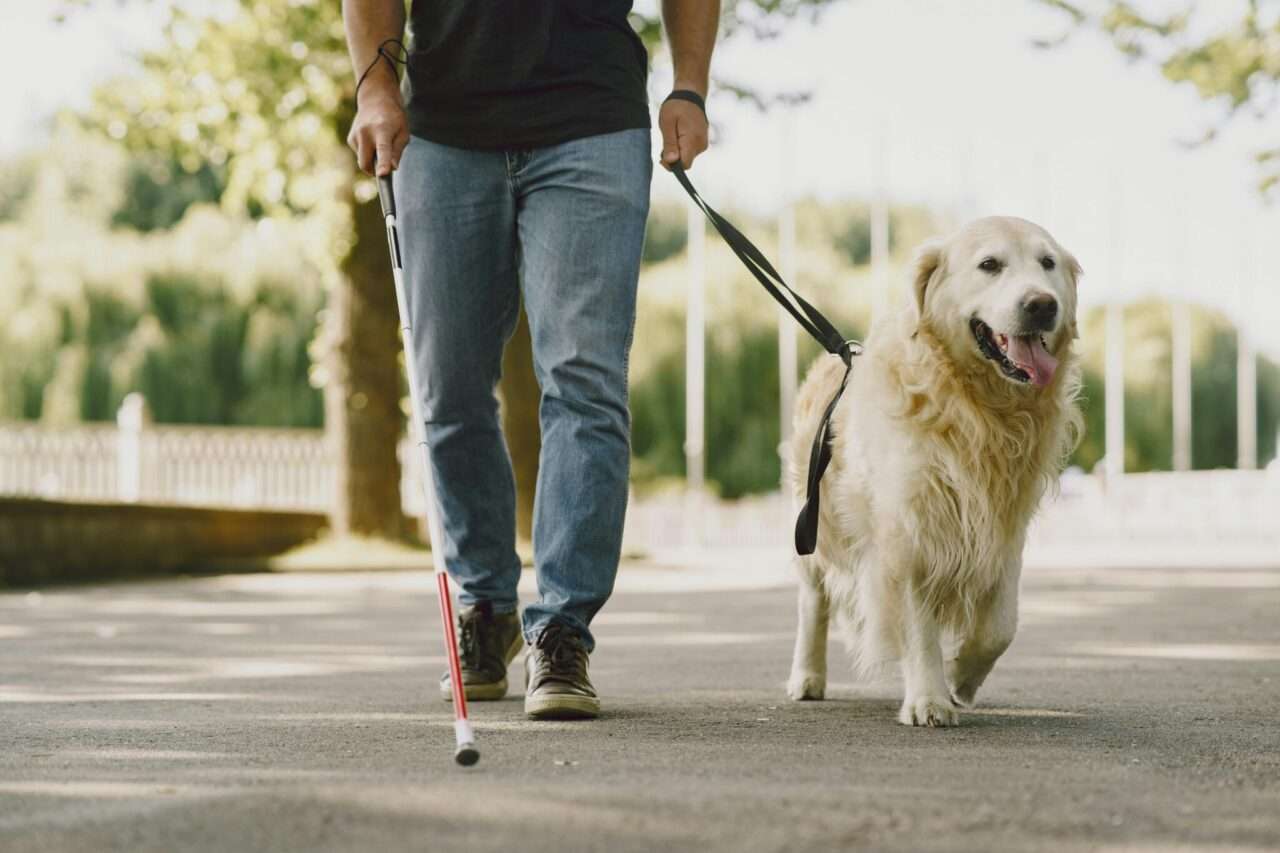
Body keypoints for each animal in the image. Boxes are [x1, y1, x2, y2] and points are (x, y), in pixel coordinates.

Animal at [783, 216, 1085, 722]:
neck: (976, 406)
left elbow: (1001, 625)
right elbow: (918, 625)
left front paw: (963, 675)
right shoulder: (909, 529)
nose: (1042, 304)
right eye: (989, 264)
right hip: (817, 527)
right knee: (812, 601)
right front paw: (928, 698)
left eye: (1047, 262)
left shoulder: (1005, 528)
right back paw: (807, 677)